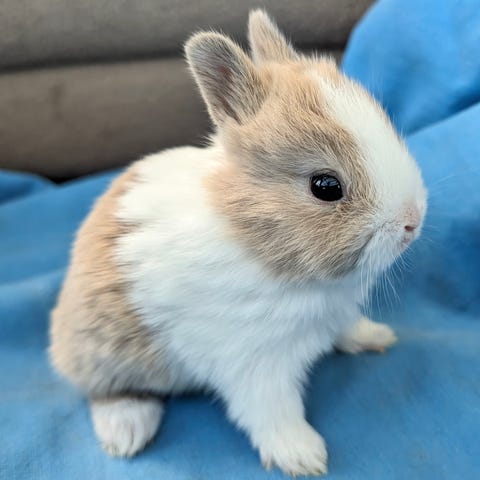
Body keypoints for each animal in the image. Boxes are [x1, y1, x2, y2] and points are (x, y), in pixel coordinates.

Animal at [49, 9, 427, 477]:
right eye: (326, 186)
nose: (412, 221)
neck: (259, 241)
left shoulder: (333, 316)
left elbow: (346, 327)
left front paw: (375, 337)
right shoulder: (253, 364)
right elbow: (272, 412)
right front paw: (304, 456)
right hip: (106, 351)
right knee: (105, 391)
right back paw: (127, 432)